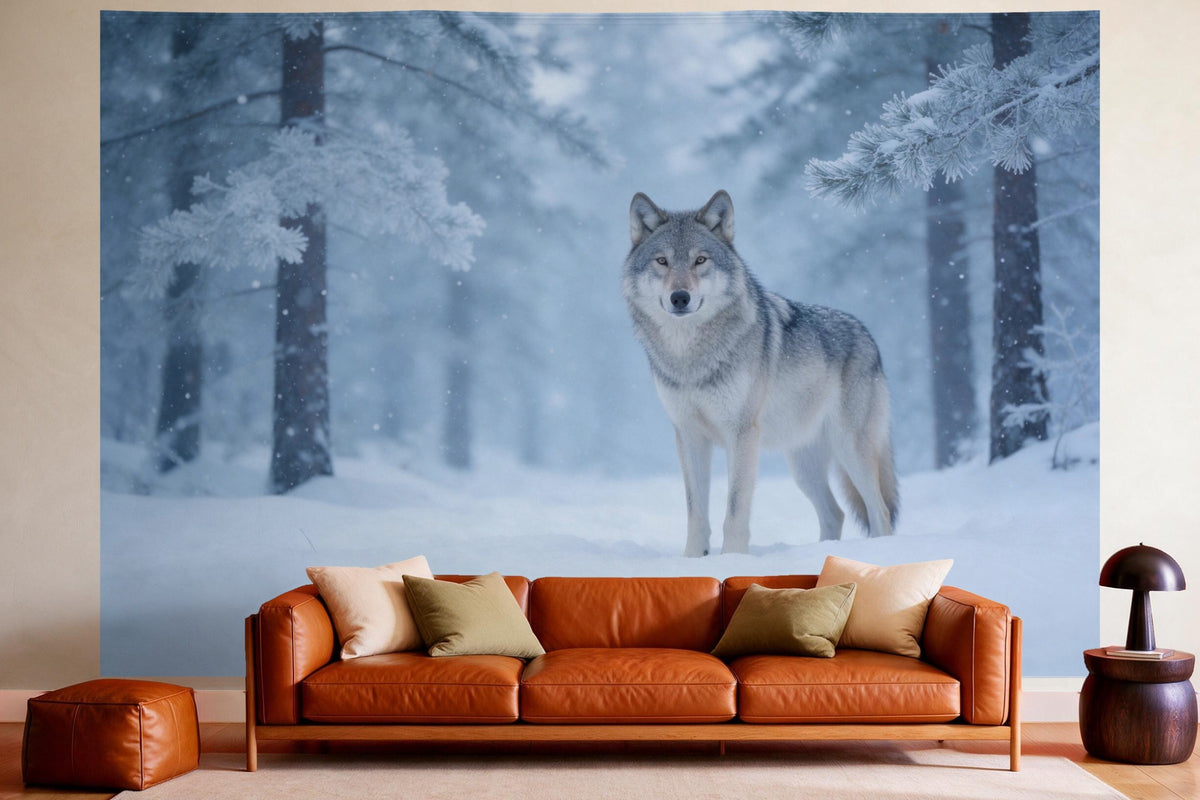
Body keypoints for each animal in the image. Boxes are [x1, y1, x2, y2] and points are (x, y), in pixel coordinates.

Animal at [622, 190, 898, 556]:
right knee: (835, 513)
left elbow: (735, 510)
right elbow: (696, 512)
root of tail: (868, 335)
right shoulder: (688, 435)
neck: (691, 357)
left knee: (879, 512)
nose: (680, 297)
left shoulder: (741, 434)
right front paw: (693, 559)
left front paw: (731, 560)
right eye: (662, 261)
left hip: (851, 450)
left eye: (700, 260)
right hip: (803, 466)